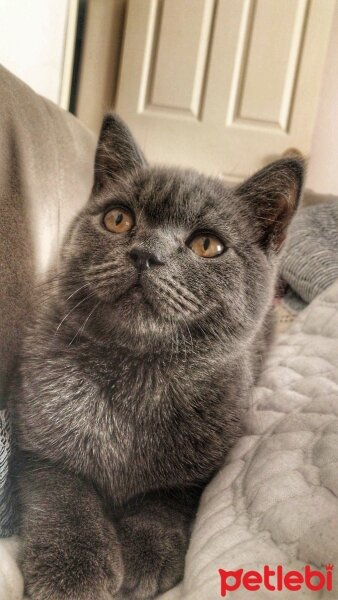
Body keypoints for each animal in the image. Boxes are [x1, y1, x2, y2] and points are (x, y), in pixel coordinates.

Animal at [11, 113, 304, 600]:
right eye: (118, 218)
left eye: (207, 244)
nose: (146, 254)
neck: (136, 373)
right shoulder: (37, 444)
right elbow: (65, 494)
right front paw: (74, 569)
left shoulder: (203, 470)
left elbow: (167, 499)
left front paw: (147, 551)